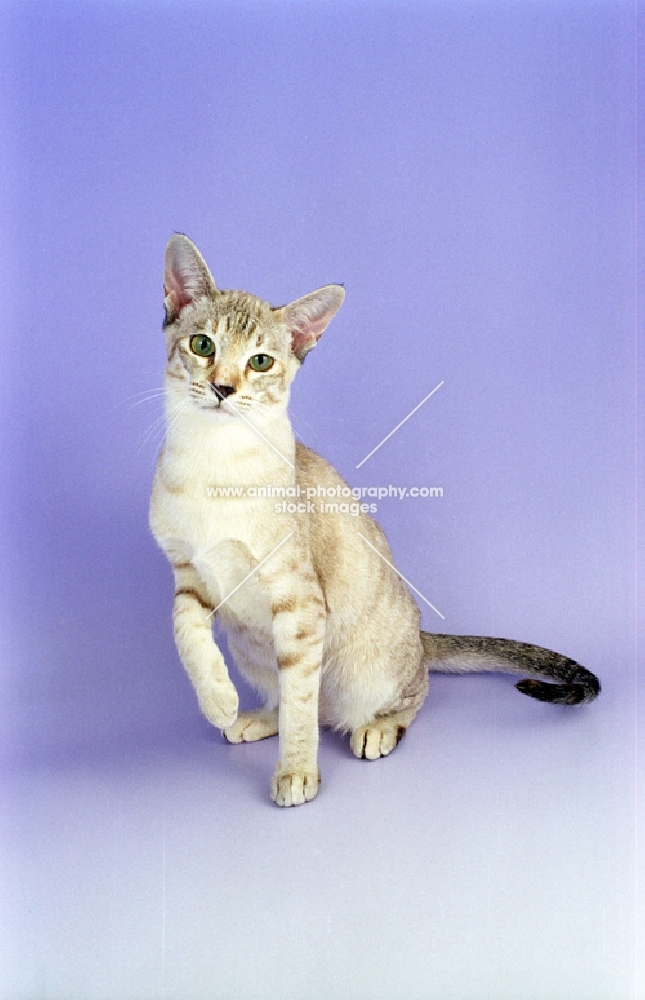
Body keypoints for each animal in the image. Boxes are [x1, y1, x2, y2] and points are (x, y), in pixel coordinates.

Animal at [150, 232, 600, 804]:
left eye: (260, 362)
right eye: (203, 346)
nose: (224, 389)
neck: (211, 465)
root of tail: (421, 635)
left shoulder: (298, 601)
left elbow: (302, 706)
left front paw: (297, 772)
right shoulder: (189, 577)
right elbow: (187, 638)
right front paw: (217, 701)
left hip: (369, 669)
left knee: (396, 696)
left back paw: (377, 729)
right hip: (250, 647)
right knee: (295, 699)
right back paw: (251, 716)